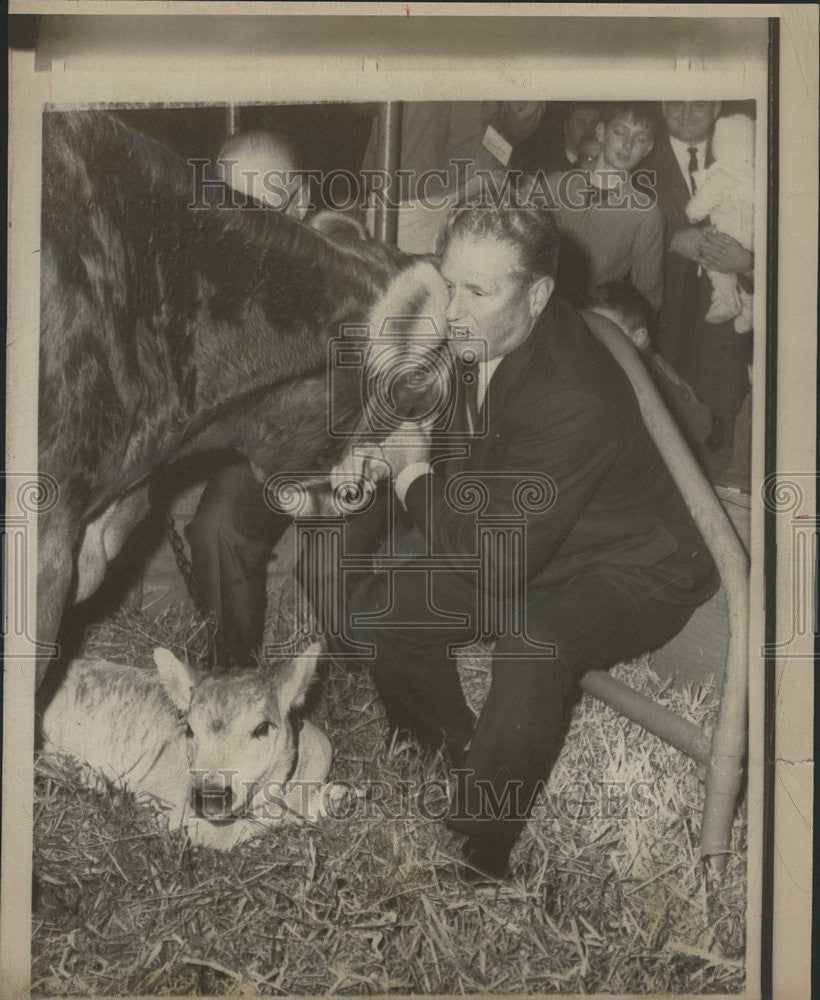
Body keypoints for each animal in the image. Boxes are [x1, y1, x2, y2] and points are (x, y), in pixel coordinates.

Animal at [41, 644, 342, 848]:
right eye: (189, 729)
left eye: (262, 728)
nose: (210, 796)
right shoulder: (157, 800)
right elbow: (226, 833)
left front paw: (332, 798)